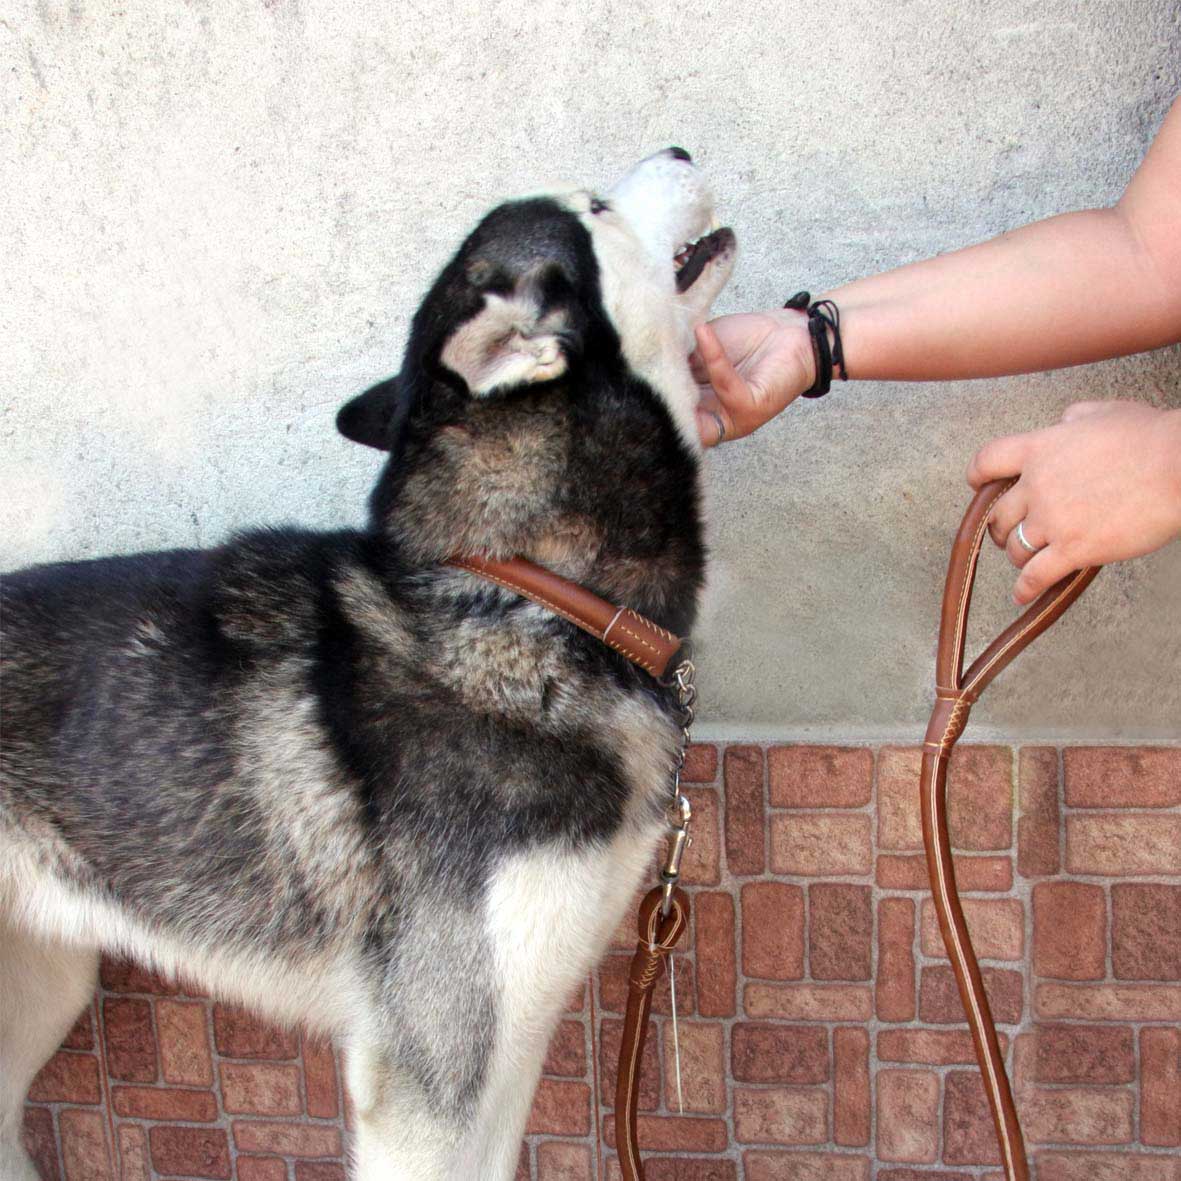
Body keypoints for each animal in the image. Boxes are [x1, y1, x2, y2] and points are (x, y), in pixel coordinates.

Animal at [0, 149, 732, 1181]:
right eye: (596, 206)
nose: (678, 152)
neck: (531, 591)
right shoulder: (426, 1078)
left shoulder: (505, 1043)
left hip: (42, 983)